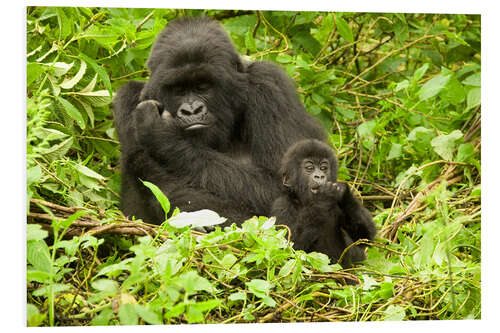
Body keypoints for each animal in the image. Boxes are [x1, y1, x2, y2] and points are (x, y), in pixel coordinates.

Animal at [112, 15, 324, 223]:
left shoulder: (270, 85)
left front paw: (162, 134)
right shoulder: (128, 97)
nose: (192, 110)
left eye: (203, 86)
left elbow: (282, 187)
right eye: (178, 90)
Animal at [274, 139, 376, 268]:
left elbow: (364, 236)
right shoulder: (282, 205)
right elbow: (289, 248)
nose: (320, 176)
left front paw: (343, 192)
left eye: (323, 168)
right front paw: (323, 196)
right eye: (309, 167)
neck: (303, 201)